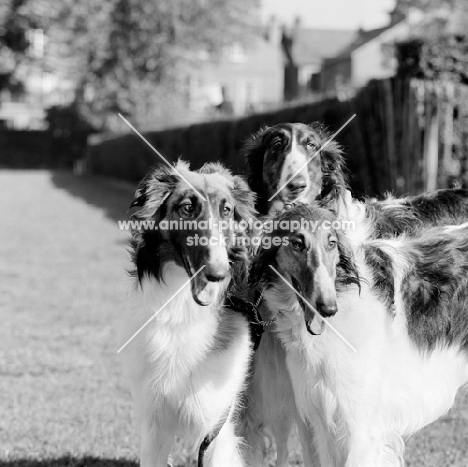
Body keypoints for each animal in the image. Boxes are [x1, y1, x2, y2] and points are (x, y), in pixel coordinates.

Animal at [121, 162, 256, 467]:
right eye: (187, 208)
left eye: (226, 210)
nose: (219, 274)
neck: (181, 308)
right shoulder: (154, 422)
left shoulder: (215, 428)